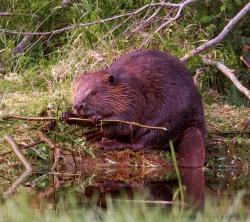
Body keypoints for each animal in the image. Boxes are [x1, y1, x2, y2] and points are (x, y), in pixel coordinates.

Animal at [62, 49, 205, 168]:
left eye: (94, 92)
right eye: (77, 89)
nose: (78, 105)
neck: (123, 85)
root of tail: (196, 124)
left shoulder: (134, 97)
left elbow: (127, 121)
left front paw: (97, 118)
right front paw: (67, 115)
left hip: (166, 122)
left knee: (140, 143)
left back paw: (107, 144)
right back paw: (93, 134)